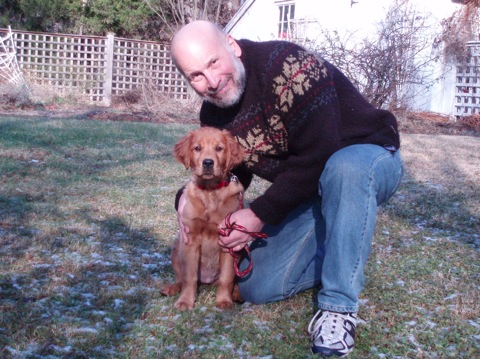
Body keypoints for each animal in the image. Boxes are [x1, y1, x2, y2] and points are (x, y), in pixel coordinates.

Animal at [160, 128, 244, 310]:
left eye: (219, 148)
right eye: (197, 148)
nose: (208, 163)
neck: (210, 190)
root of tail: (206, 282)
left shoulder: (229, 241)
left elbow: (227, 277)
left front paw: (224, 301)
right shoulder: (191, 239)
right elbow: (189, 277)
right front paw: (185, 302)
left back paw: (237, 294)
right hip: (177, 247)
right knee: (181, 278)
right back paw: (172, 288)